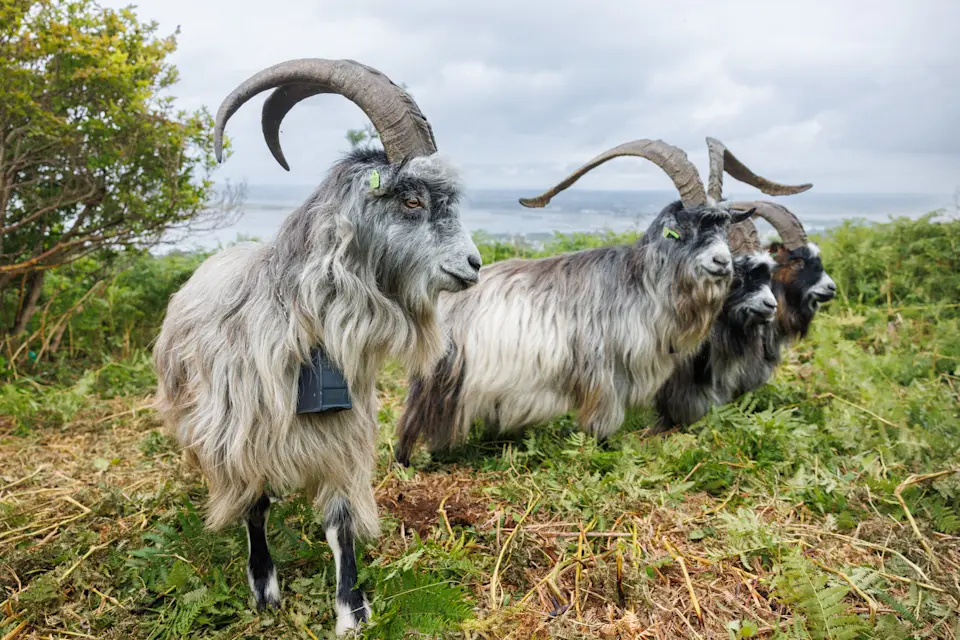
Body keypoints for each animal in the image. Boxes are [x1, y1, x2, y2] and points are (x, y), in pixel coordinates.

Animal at [151, 58, 482, 635]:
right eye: (411, 199)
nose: (474, 265)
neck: (306, 330)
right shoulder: (244, 434)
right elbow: (255, 505)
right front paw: (264, 588)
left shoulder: (341, 438)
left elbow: (340, 522)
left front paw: (352, 609)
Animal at [394, 138, 811, 465]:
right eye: (679, 231)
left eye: (723, 230)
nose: (721, 262)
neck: (638, 285)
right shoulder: (603, 378)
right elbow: (602, 425)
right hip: (442, 381)